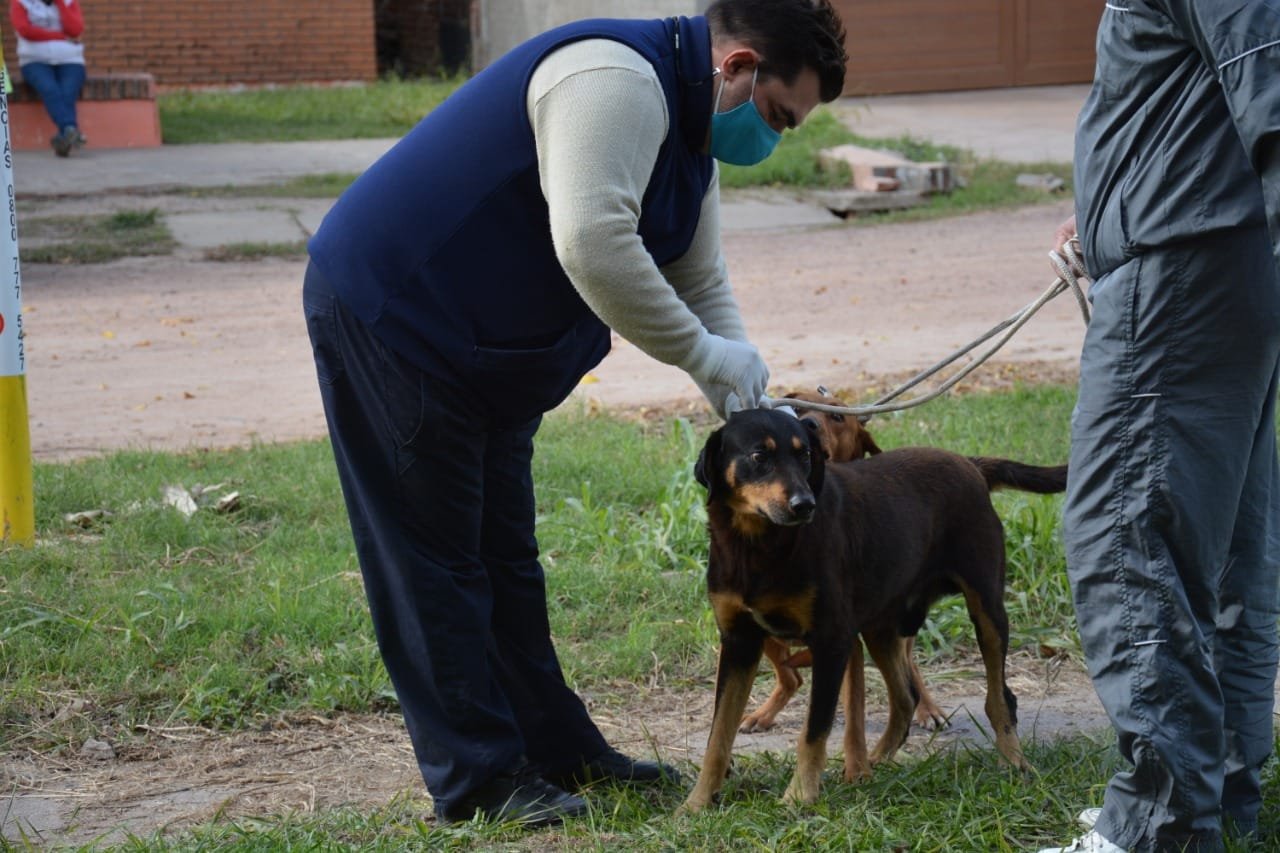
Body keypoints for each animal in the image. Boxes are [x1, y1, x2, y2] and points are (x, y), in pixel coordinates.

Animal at [686, 409, 1064, 809]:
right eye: (759, 456)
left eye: (805, 456)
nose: (805, 505)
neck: (757, 545)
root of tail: (969, 464)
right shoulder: (738, 642)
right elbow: (718, 735)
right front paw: (696, 803)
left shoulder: (832, 640)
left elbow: (814, 730)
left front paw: (799, 797)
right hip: (881, 628)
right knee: (905, 698)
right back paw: (876, 761)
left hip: (987, 610)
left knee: (999, 698)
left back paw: (1014, 761)